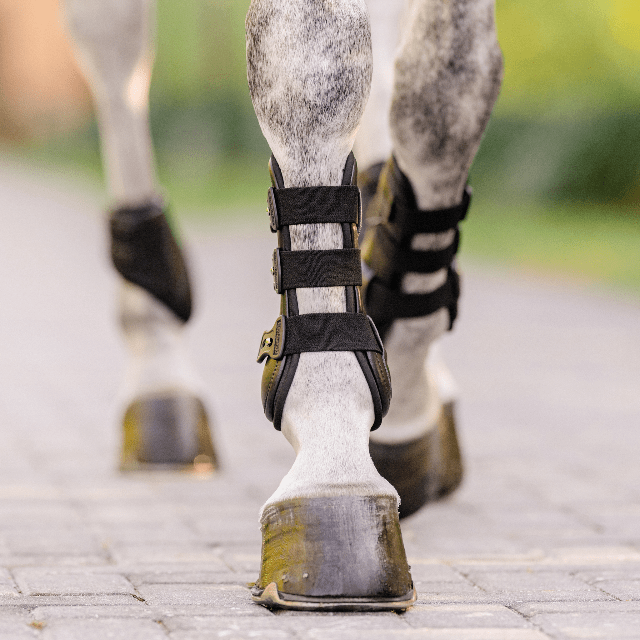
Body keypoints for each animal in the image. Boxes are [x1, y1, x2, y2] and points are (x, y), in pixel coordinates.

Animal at [61, 0, 502, 611]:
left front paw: (403, 416)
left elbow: (450, 87)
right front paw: (334, 467)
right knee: (113, 40)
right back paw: (159, 374)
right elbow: (312, 67)